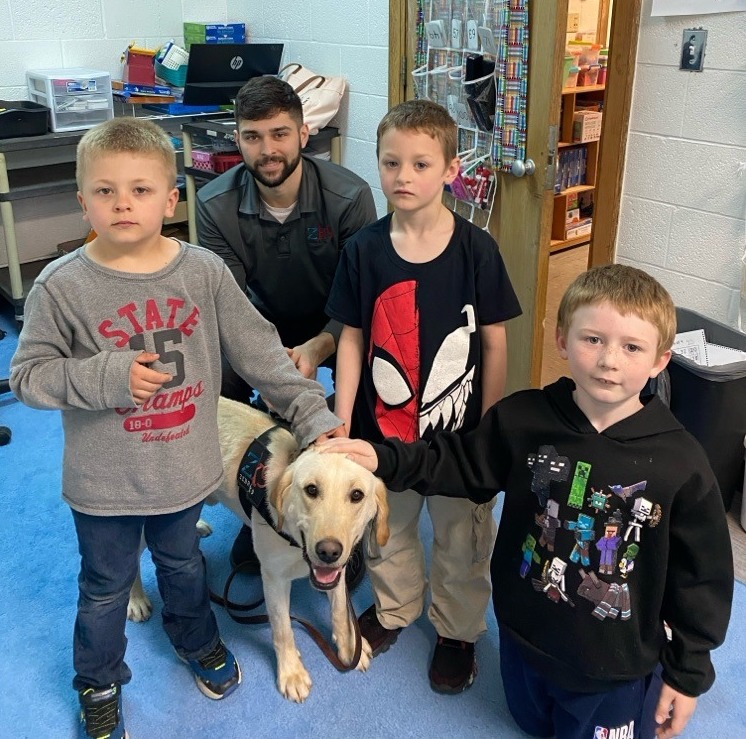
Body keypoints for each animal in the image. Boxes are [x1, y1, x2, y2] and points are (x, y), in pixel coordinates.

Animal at [126, 398, 390, 704]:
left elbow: (338, 610)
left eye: (357, 495)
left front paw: (349, 647)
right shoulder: (274, 579)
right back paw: (136, 600)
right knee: (130, 559)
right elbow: (283, 629)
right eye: (311, 490)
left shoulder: (337, 572)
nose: (328, 551)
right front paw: (291, 673)